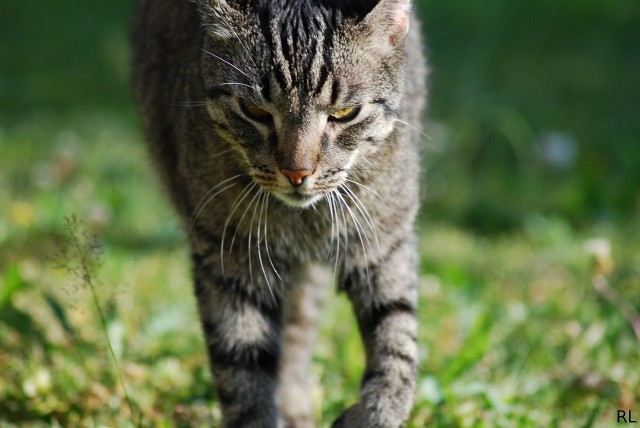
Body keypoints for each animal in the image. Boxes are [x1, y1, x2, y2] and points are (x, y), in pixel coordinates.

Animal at [132, 0, 428, 426]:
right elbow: (243, 367)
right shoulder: (231, 259)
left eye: (345, 113)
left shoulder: (385, 241)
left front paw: (377, 413)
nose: (297, 172)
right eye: (254, 110)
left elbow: (397, 342)